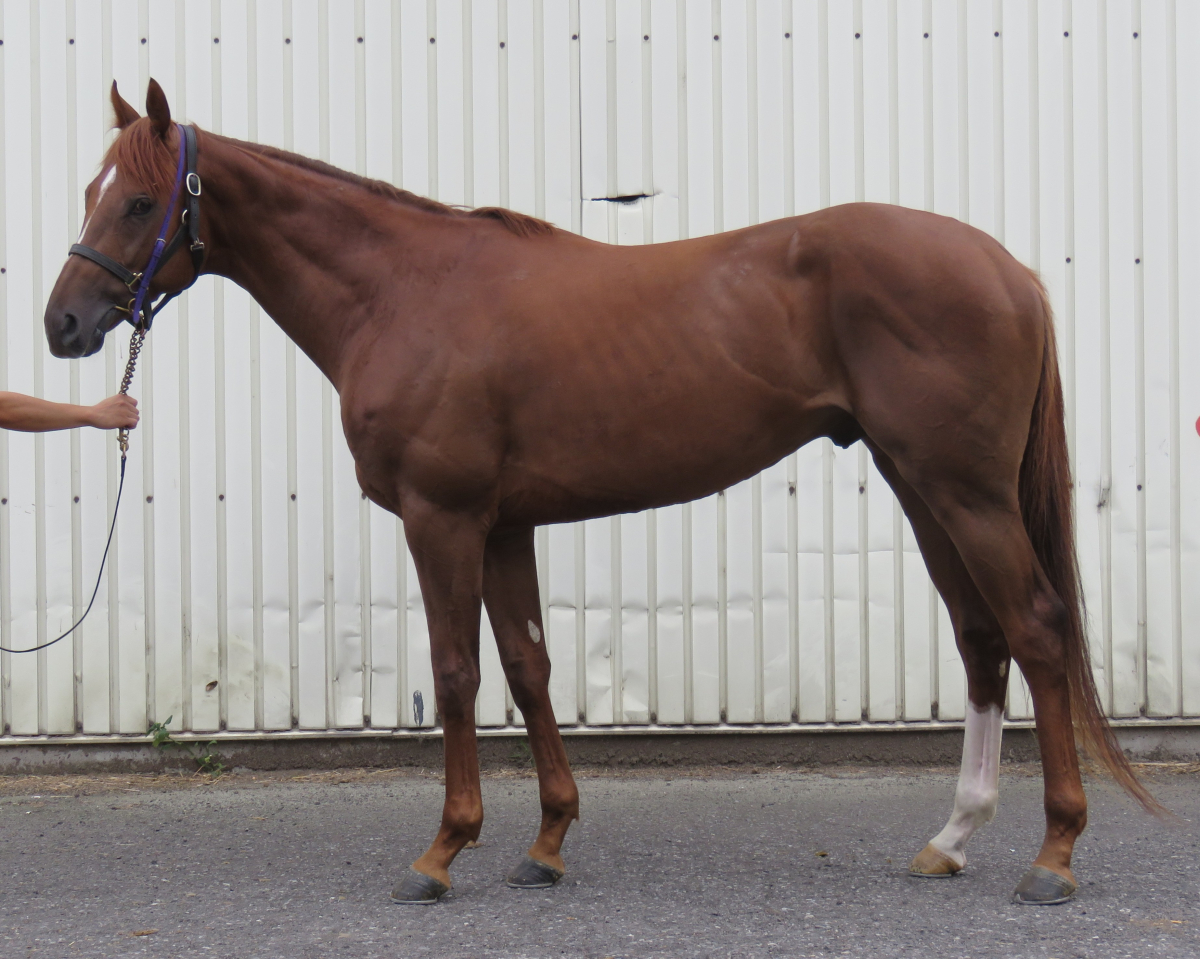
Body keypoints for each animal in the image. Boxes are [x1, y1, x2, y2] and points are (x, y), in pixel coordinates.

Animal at [45, 80, 1157, 906]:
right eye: (91, 187)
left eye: (138, 200)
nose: (63, 323)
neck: (404, 291)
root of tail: (1009, 269)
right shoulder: (505, 526)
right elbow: (530, 666)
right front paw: (544, 841)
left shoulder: (443, 518)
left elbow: (456, 671)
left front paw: (441, 851)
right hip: (923, 486)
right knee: (982, 637)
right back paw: (952, 836)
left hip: (964, 491)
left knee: (1037, 627)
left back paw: (1052, 856)